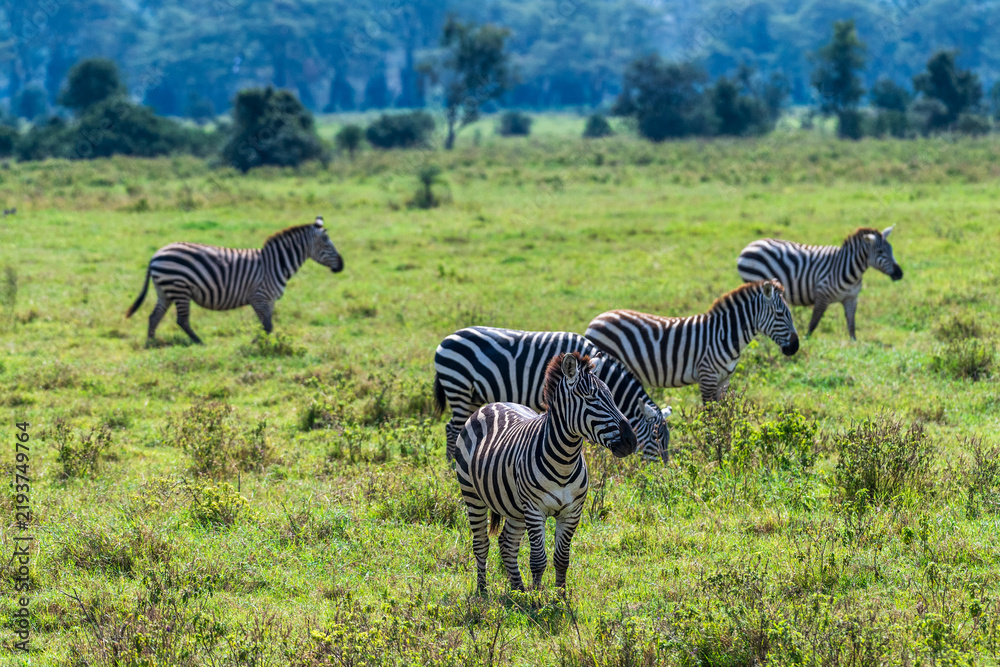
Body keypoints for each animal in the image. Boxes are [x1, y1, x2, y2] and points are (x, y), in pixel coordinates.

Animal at [126, 216, 343, 344]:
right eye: (326, 244)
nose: (341, 265)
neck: (275, 263)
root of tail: (156, 255)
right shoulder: (259, 297)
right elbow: (267, 326)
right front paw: (256, 344)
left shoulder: (269, 300)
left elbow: (267, 325)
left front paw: (262, 343)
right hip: (179, 288)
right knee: (182, 320)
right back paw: (199, 342)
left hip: (165, 290)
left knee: (154, 316)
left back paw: (151, 343)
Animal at [434, 326, 671, 464]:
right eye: (656, 438)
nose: (663, 471)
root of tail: (448, 337)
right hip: (458, 387)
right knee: (452, 428)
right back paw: (450, 464)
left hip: (472, 396)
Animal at [454, 352, 637, 593]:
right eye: (590, 398)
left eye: (612, 398)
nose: (631, 441)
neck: (565, 462)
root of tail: (492, 404)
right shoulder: (534, 510)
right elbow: (538, 560)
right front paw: (538, 598)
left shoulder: (572, 512)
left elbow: (562, 559)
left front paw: (560, 597)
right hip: (472, 495)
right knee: (481, 544)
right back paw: (483, 591)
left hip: (515, 507)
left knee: (507, 543)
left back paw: (518, 590)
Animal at [585, 280, 798, 403]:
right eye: (780, 314)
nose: (795, 347)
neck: (724, 334)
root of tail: (597, 319)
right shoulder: (707, 377)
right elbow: (711, 417)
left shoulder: (723, 381)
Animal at [736, 227, 902, 340]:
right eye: (880, 251)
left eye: (891, 249)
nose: (900, 273)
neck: (848, 268)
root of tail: (749, 245)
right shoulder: (823, 295)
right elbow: (813, 323)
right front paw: (806, 340)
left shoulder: (851, 298)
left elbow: (851, 324)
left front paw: (854, 344)